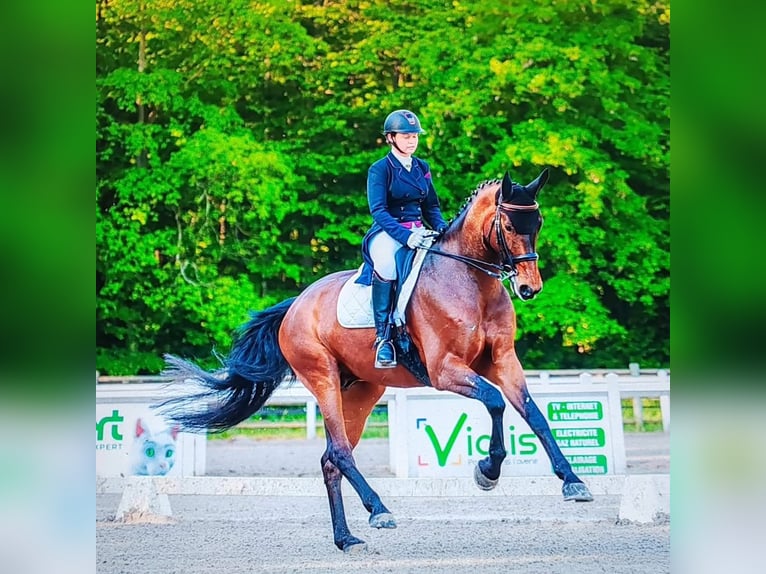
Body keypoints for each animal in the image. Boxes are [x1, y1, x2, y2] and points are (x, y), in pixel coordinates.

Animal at [159, 169, 596, 556]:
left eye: (537, 222)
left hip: (363, 391)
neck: (472, 283)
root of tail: (296, 304)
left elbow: (535, 414)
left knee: (330, 459)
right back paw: (379, 510)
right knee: (340, 452)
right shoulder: (444, 370)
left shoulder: (503, 362)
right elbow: (494, 402)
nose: (528, 288)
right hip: (323, 379)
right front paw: (487, 471)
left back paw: (346, 539)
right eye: (506, 224)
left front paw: (573, 482)